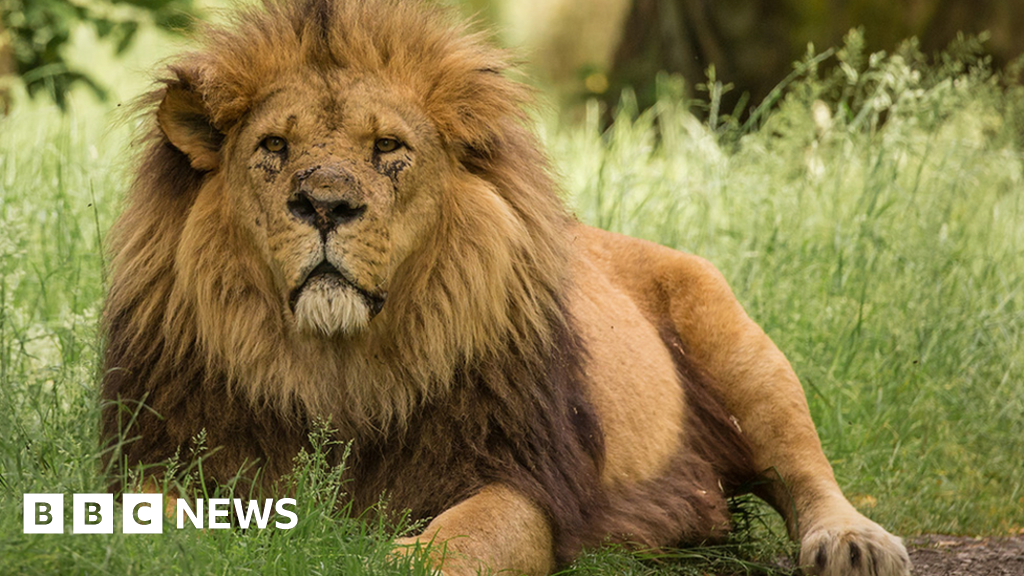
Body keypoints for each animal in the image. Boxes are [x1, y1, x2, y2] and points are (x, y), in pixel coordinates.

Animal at [97, 1, 913, 573]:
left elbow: (468, 537)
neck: (338, 368)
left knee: (804, 468)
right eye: (273, 147)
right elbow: (139, 511)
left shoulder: (520, 473)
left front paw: (398, 557)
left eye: (388, 148)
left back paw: (854, 542)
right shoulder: (165, 446)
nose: (324, 204)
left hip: (740, 346)